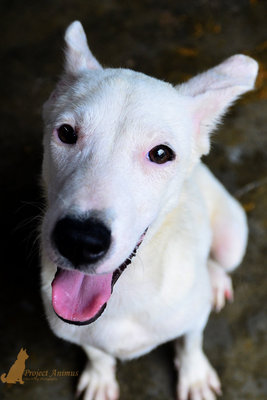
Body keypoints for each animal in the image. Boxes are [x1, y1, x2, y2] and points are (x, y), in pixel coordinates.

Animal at [40, 21, 260, 400]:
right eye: (66, 133)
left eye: (160, 154)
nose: (80, 241)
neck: (127, 292)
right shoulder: (73, 326)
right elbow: (95, 350)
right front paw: (100, 377)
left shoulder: (192, 318)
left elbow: (191, 341)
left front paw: (194, 376)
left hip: (232, 237)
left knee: (219, 262)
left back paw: (215, 280)